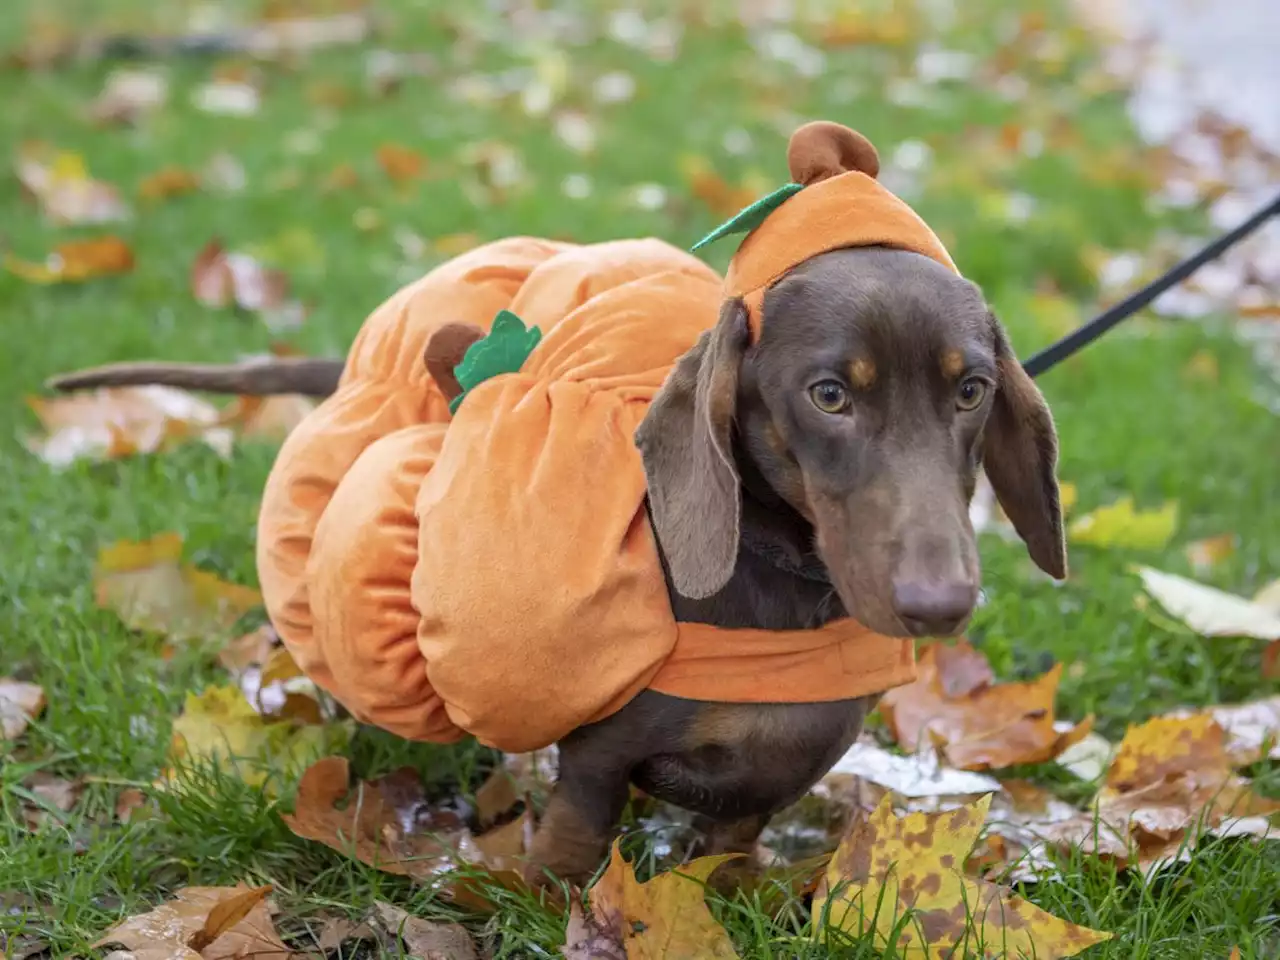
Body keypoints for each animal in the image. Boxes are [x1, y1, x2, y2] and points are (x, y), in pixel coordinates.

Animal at [42, 241, 1059, 885]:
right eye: (829, 395)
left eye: (971, 389)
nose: (941, 604)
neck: (777, 596)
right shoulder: (602, 753)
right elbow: (572, 840)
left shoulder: (772, 782)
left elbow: (726, 859)